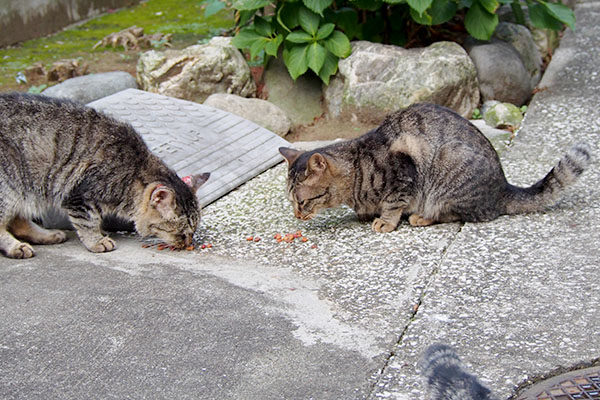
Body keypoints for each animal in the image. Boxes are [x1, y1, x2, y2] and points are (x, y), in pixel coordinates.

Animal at [0, 92, 211, 258]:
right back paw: (16, 247)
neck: (132, 173)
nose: (187, 244)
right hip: (9, 186)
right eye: (181, 232)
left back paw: (48, 235)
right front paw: (96, 241)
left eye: (193, 231)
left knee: (18, 221)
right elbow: (87, 222)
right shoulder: (80, 197)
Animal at [280, 103, 592, 233]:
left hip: (447, 171)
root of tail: (503, 188)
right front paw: (366, 213)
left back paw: (422, 217)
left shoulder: (403, 174)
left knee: (456, 214)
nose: (296, 215)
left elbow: (392, 203)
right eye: (292, 202)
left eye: (302, 201)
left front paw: (385, 221)